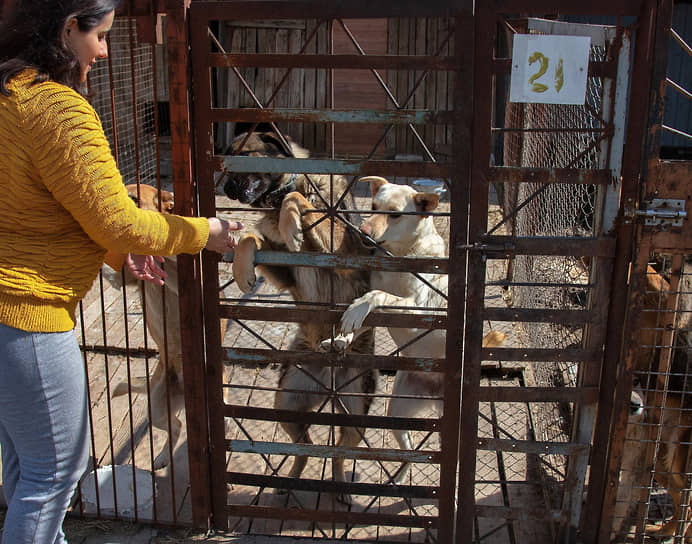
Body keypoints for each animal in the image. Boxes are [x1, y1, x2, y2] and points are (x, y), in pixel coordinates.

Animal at [220, 131, 374, 502]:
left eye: (245, 155)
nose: (227, 188)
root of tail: (329, 385)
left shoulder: (344, 251)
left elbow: (295, 198)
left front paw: (293, 221)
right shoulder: (286, 271)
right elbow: (250, 235)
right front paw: (243, 268)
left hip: (356, 417)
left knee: (337, 455)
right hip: (286, 404)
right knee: (305, 448)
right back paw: (288, 481)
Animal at [320, 176, 508, 482]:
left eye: (395, 214)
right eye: (373, 207)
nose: (363, 232)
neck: (401, 255)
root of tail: (433, 393)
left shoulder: (418, 309)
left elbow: (375, 295)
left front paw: (356, 311)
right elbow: (362, 318)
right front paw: (341, 337)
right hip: (397, 415)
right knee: (409, 455)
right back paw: (397, 478)